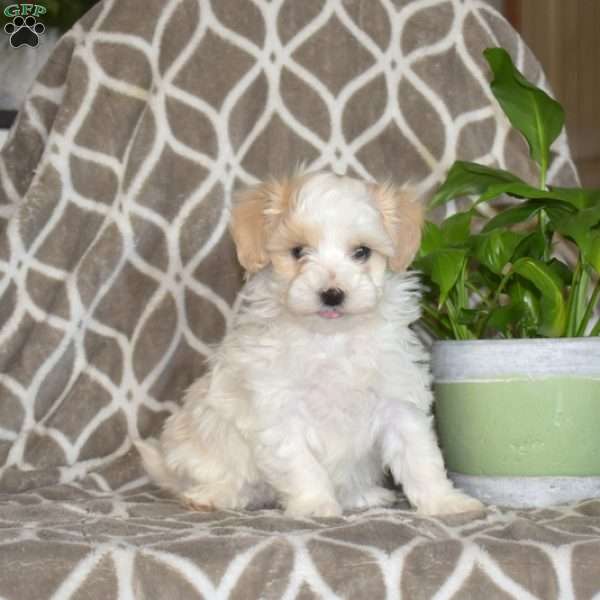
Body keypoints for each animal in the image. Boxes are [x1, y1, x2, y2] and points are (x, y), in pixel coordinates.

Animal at [136, 171, 482, 516]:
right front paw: (315, 505)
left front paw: (445, 502)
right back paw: (211, 495)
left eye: (361, 252)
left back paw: (362, 495)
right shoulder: (280, 410)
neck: (332, 339)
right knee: (223, 479)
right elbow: (300, 464)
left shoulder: (398, 402)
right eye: (298, 251)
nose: (332, 294)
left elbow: (420, 456)